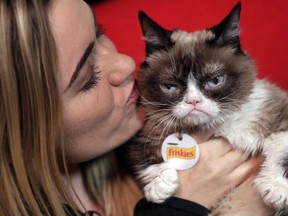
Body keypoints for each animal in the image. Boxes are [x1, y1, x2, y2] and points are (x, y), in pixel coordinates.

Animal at [126, 2, 288, 216]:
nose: (193, 101)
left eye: (215, 80)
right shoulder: (141, 133)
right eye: (169, 86)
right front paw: (159, 185)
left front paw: (275, 187)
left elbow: (281, 144)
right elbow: (145, 157)